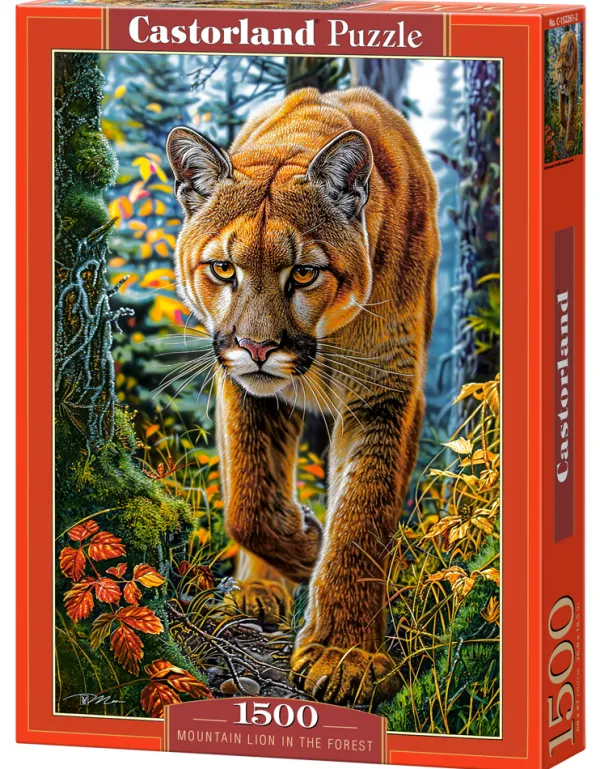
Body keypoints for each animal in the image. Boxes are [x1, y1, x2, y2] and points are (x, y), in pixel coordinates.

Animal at [166, 86, 439, 706]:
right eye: (224, 268)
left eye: (304, 273)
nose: (257, 347)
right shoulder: (242, 387)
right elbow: (248, 500)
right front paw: (306, 545)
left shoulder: (386, 391)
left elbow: (363, 517)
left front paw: (346, 655)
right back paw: (256, 591)